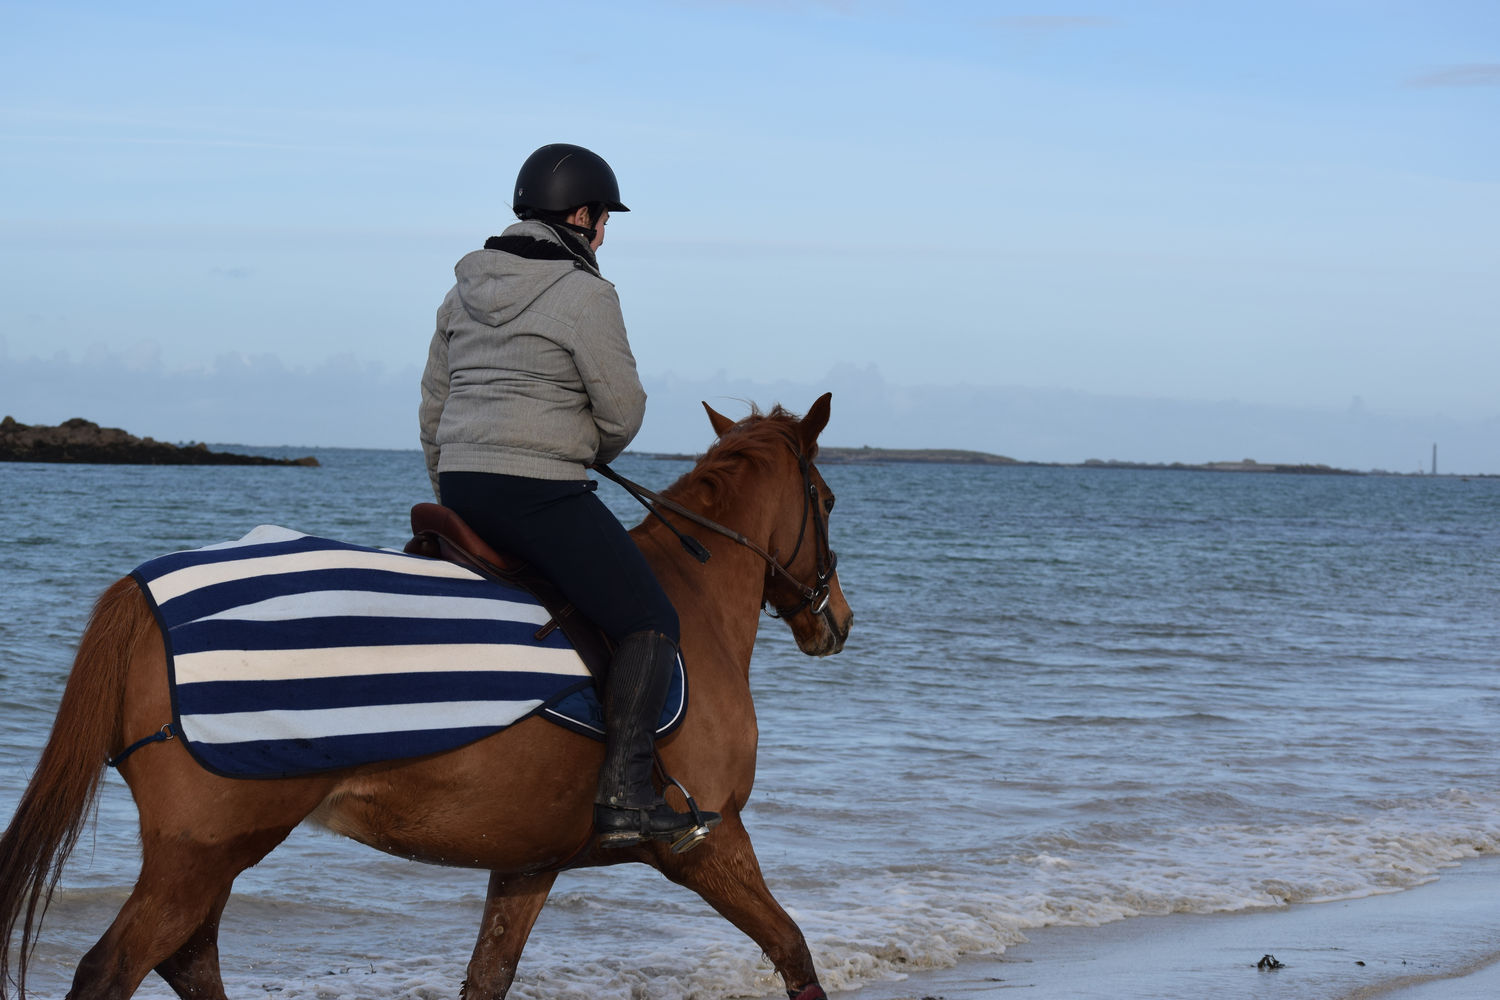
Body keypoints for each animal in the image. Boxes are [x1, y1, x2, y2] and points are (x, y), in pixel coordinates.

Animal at [0, 395, 852, 1000]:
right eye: (829, 498)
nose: (835, 619)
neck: (691, 599)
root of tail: (142, 596)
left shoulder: (528, 862)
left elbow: (488, 978)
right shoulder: (709, 842)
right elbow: (793, 949)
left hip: (202, 855)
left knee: (188, 962)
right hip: (203, 853)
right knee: (116, 969)